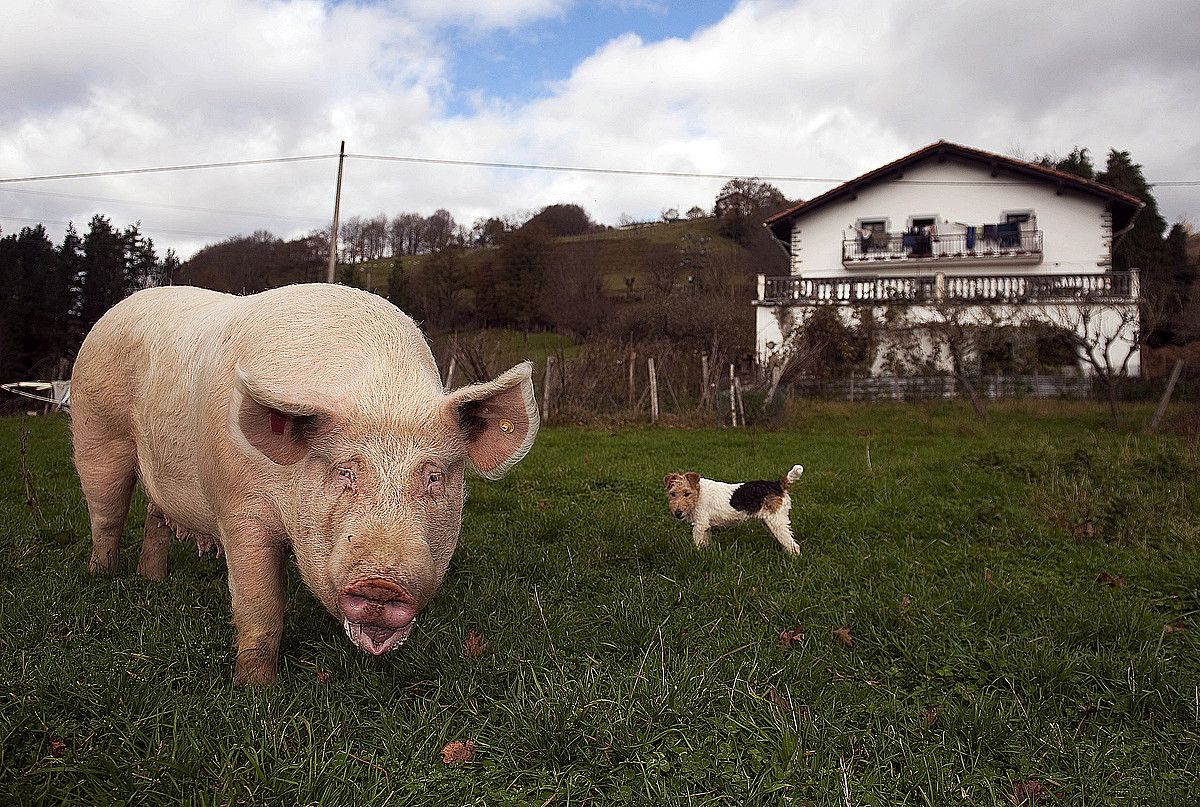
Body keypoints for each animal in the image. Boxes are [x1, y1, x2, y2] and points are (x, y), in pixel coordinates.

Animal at [72, 282, 542, 682]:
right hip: (97, 430)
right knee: (107, 514)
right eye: (344, 472)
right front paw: (255, 690)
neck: (379, 390)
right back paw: (100, 577)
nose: (381, 582)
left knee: (156, 519)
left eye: (434, 477)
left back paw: (152, 580)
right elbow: (260, 607)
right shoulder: (239, 508)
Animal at [667, 465, 806, 554]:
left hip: (776, 521)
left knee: (794, 546)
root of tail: (778, 484)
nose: (678, 513)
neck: (699, 492)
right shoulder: (704, 526)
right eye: (672, 494)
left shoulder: (700, 525)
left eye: (686, 493)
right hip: (770, 523)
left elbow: (698, 543)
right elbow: (704, 542)